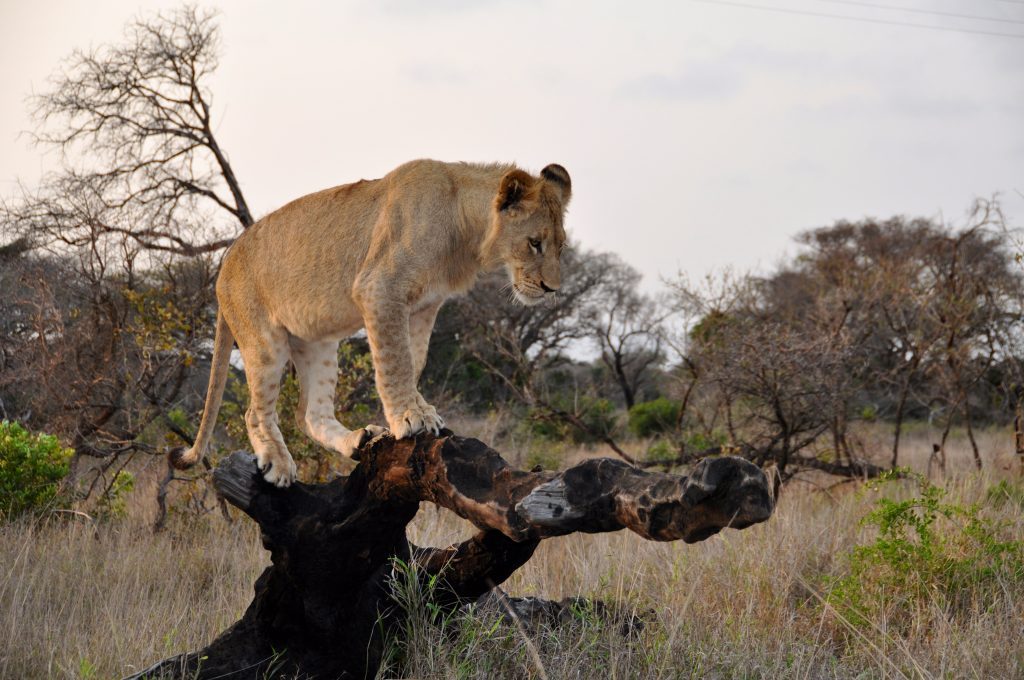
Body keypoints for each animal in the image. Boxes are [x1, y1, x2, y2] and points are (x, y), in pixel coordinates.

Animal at [167, 157, 569, 489]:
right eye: (534, 243)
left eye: (561, 246)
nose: (552, 288)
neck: (464, 230)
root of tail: (225, 260)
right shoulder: (380, 288)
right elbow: (395, 361)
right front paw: (410, 417)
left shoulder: (424, 306)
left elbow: (414, 359)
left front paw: (415, 411)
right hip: (264, 341)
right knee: (254, 412)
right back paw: (278, 462)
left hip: (318, 344)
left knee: (311, 414)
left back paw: (357, 440)